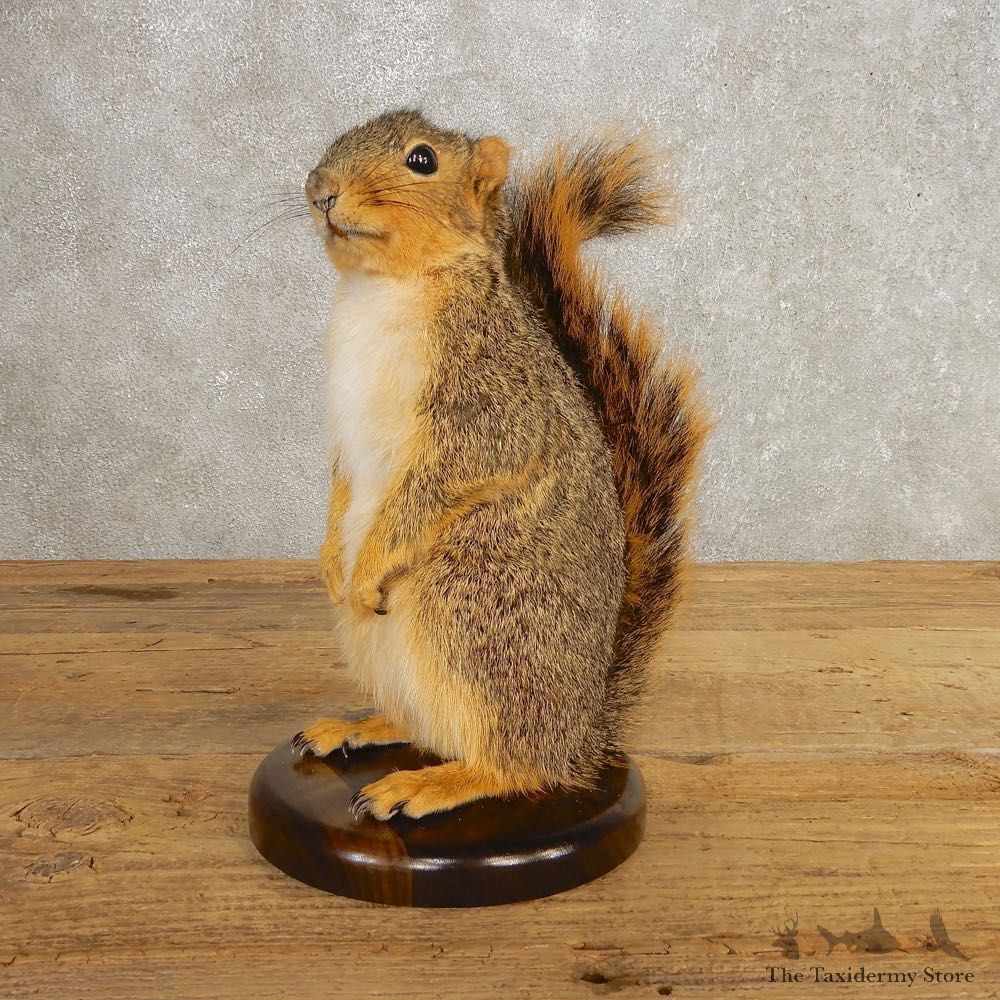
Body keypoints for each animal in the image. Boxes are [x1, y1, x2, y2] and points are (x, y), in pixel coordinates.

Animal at [292, 110, 708, 821]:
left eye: (422, 160)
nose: (322, 190)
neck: (383, 288)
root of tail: (579, 735)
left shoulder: (487, 409)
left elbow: (440, 481)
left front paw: (366, 567)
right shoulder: (344, 425)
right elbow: (343, 480)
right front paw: (329, 561)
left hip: (470, 605)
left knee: (513, 764)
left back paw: (434, 783)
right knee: (428, 727)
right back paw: (361, 726)